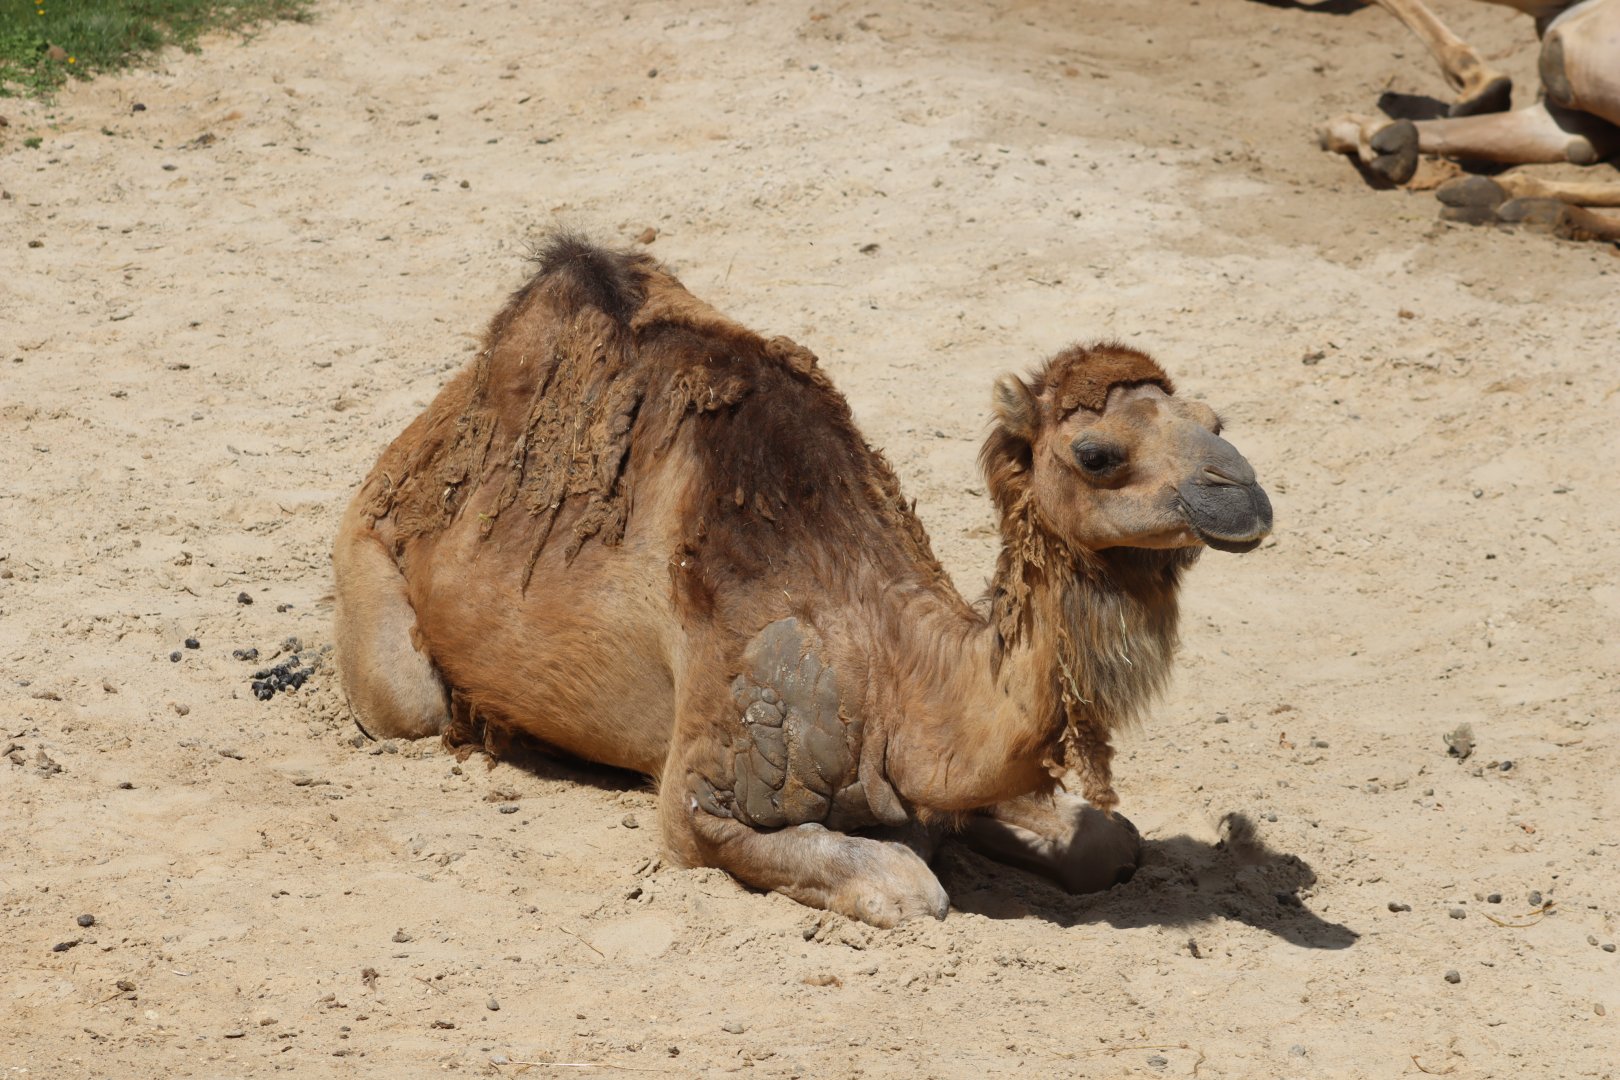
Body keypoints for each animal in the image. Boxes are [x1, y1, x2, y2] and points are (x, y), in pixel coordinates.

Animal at [331, 236, 1273, 926]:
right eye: (1097, 453)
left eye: (1216, 420)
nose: (1245, 495)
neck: (895, 664)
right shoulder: (706, 799)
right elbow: (909, 884)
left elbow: (1107, 839)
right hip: (369, 568)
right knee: (410, 705)